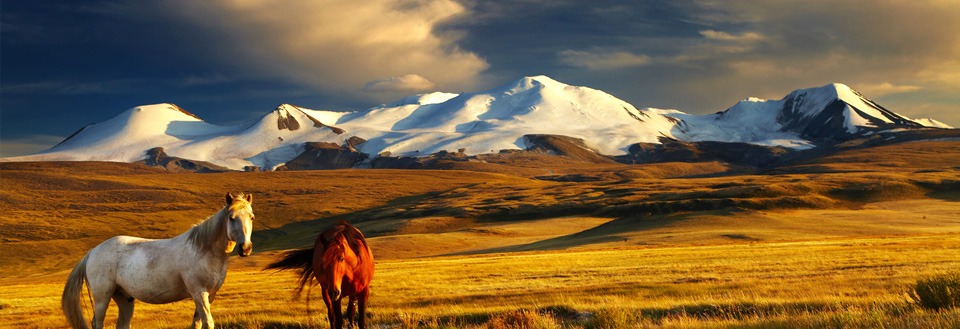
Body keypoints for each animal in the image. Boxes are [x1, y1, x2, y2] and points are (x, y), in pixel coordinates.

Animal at [59, 192, 255, 328]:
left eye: (251, 217)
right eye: (231, 217)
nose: (245, 248)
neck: (203, 250)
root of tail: (93, 251)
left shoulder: (209, 295)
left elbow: (198, 323)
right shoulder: (199, 293)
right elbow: (208, 322)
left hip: (124, 297)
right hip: (102, 297)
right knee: (97, 323)